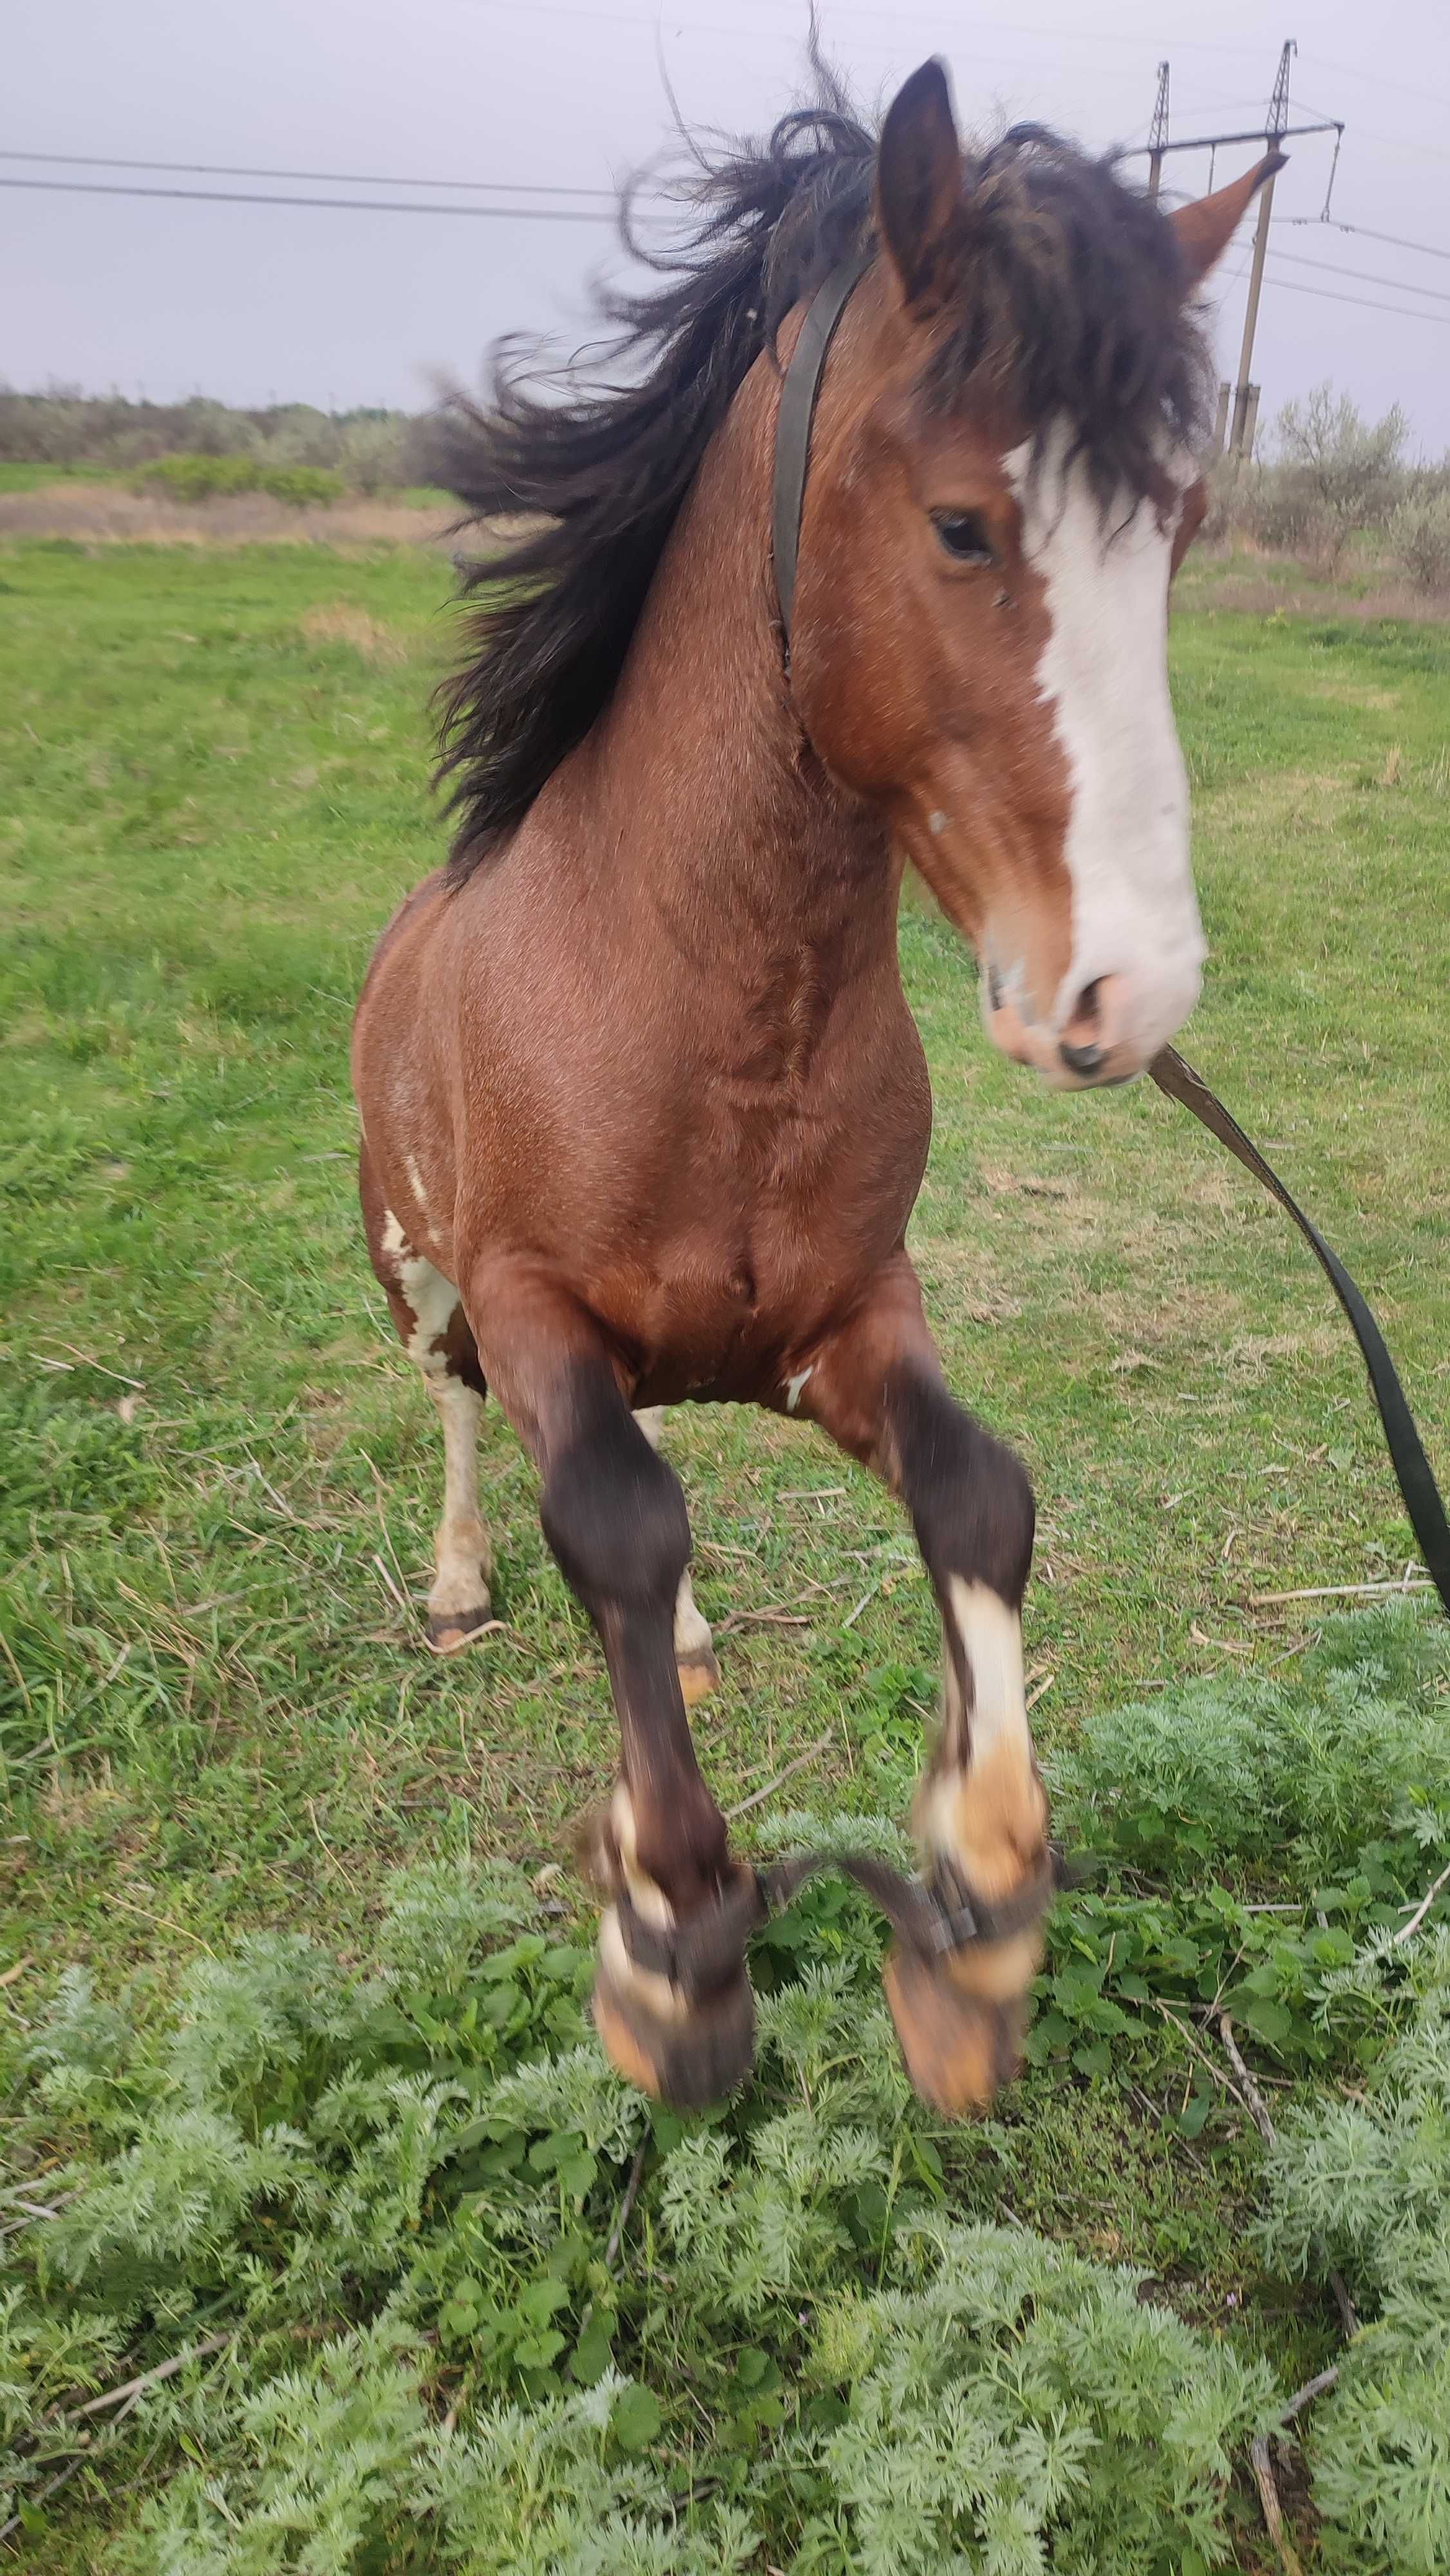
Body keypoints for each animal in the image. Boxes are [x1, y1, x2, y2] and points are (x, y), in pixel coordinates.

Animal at [355, 65, 1283, 2112]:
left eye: (1175, 525)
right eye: (958, 526)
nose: (1126, 987)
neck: (706, 1017)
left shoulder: (847, 1320)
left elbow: (977, 1500)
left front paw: (978, 1911)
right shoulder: (533, 1302)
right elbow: (612, 1514)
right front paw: (671, 1942)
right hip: (413, 1266)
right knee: (460, 1413)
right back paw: (461, 1589)